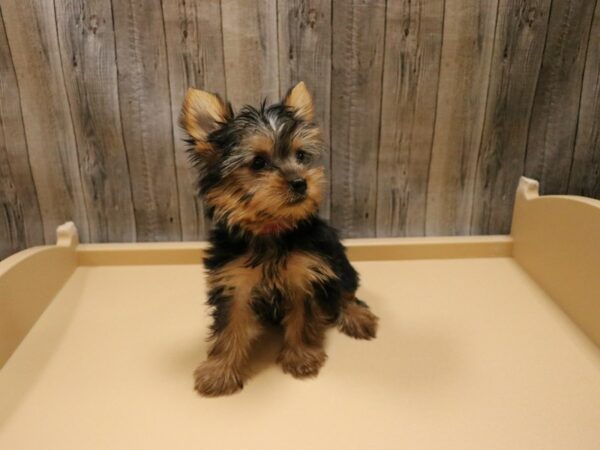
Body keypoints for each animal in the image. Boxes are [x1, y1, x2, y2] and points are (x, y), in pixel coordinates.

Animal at [182, 81, 380, 398]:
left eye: (300, 157)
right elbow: (229, 327)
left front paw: (300, 357)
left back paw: (357, 316)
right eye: (258, 162)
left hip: (337, 259)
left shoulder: (306, 275)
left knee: (345, 291)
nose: (301, 182)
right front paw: (220, 371)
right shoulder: (233, 281)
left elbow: (301, 317)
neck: (271, 228)